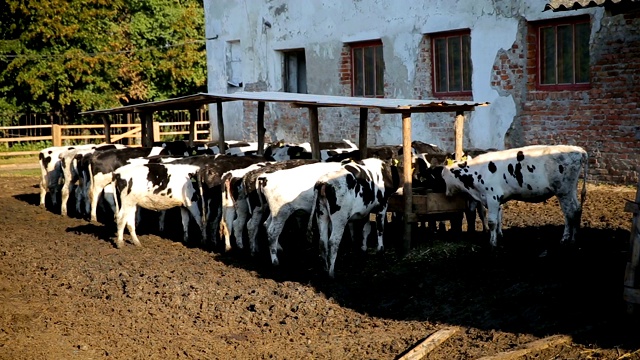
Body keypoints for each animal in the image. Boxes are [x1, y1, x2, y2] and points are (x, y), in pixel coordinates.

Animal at [432, 143, 588, 248]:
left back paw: (566, 239)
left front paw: (492, 243)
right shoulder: (495, 200)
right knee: (576, 210)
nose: (445, 193)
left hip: (564, 191)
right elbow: (498, 220)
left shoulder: (492, 197)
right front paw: (498, 237)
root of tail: (579, 150)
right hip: (570, 190)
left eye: (441, 177)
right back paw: (573, 238)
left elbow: (492, 222)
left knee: (570, 213)